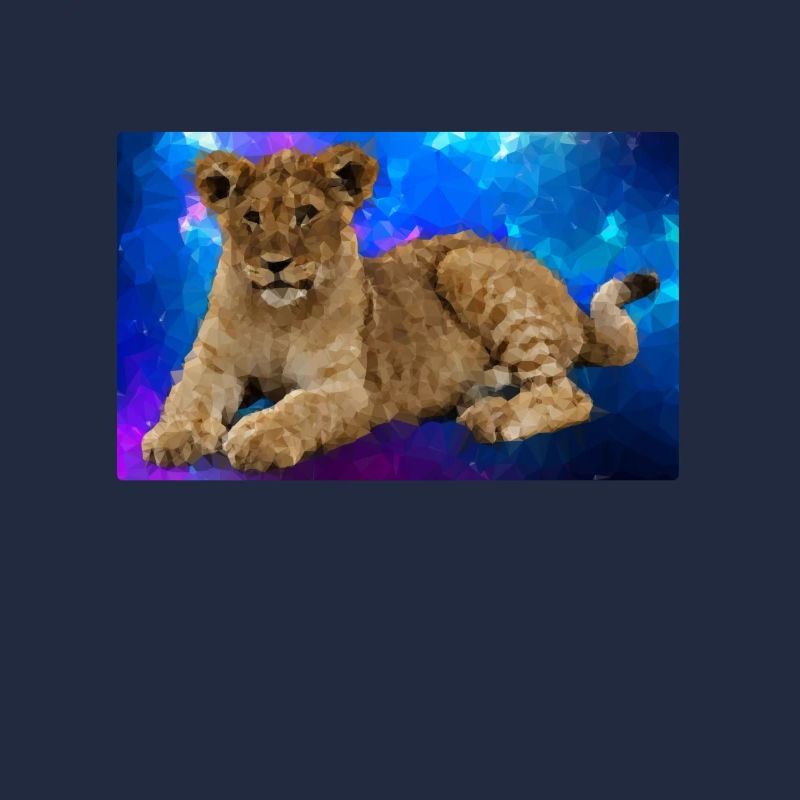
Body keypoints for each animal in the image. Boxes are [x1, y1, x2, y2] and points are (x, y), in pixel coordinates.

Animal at [141, 144, 659, 471]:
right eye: (251, 217)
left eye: (305, 215)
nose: (275, 264)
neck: (278, 316)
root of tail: (574, 307)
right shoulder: (212, 364)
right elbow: (188, 396)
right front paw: (171, 436)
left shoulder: (346, 388)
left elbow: (300, 407)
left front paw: (253, 436)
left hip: (463, 263)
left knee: (567, 394)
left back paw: (495, 416)